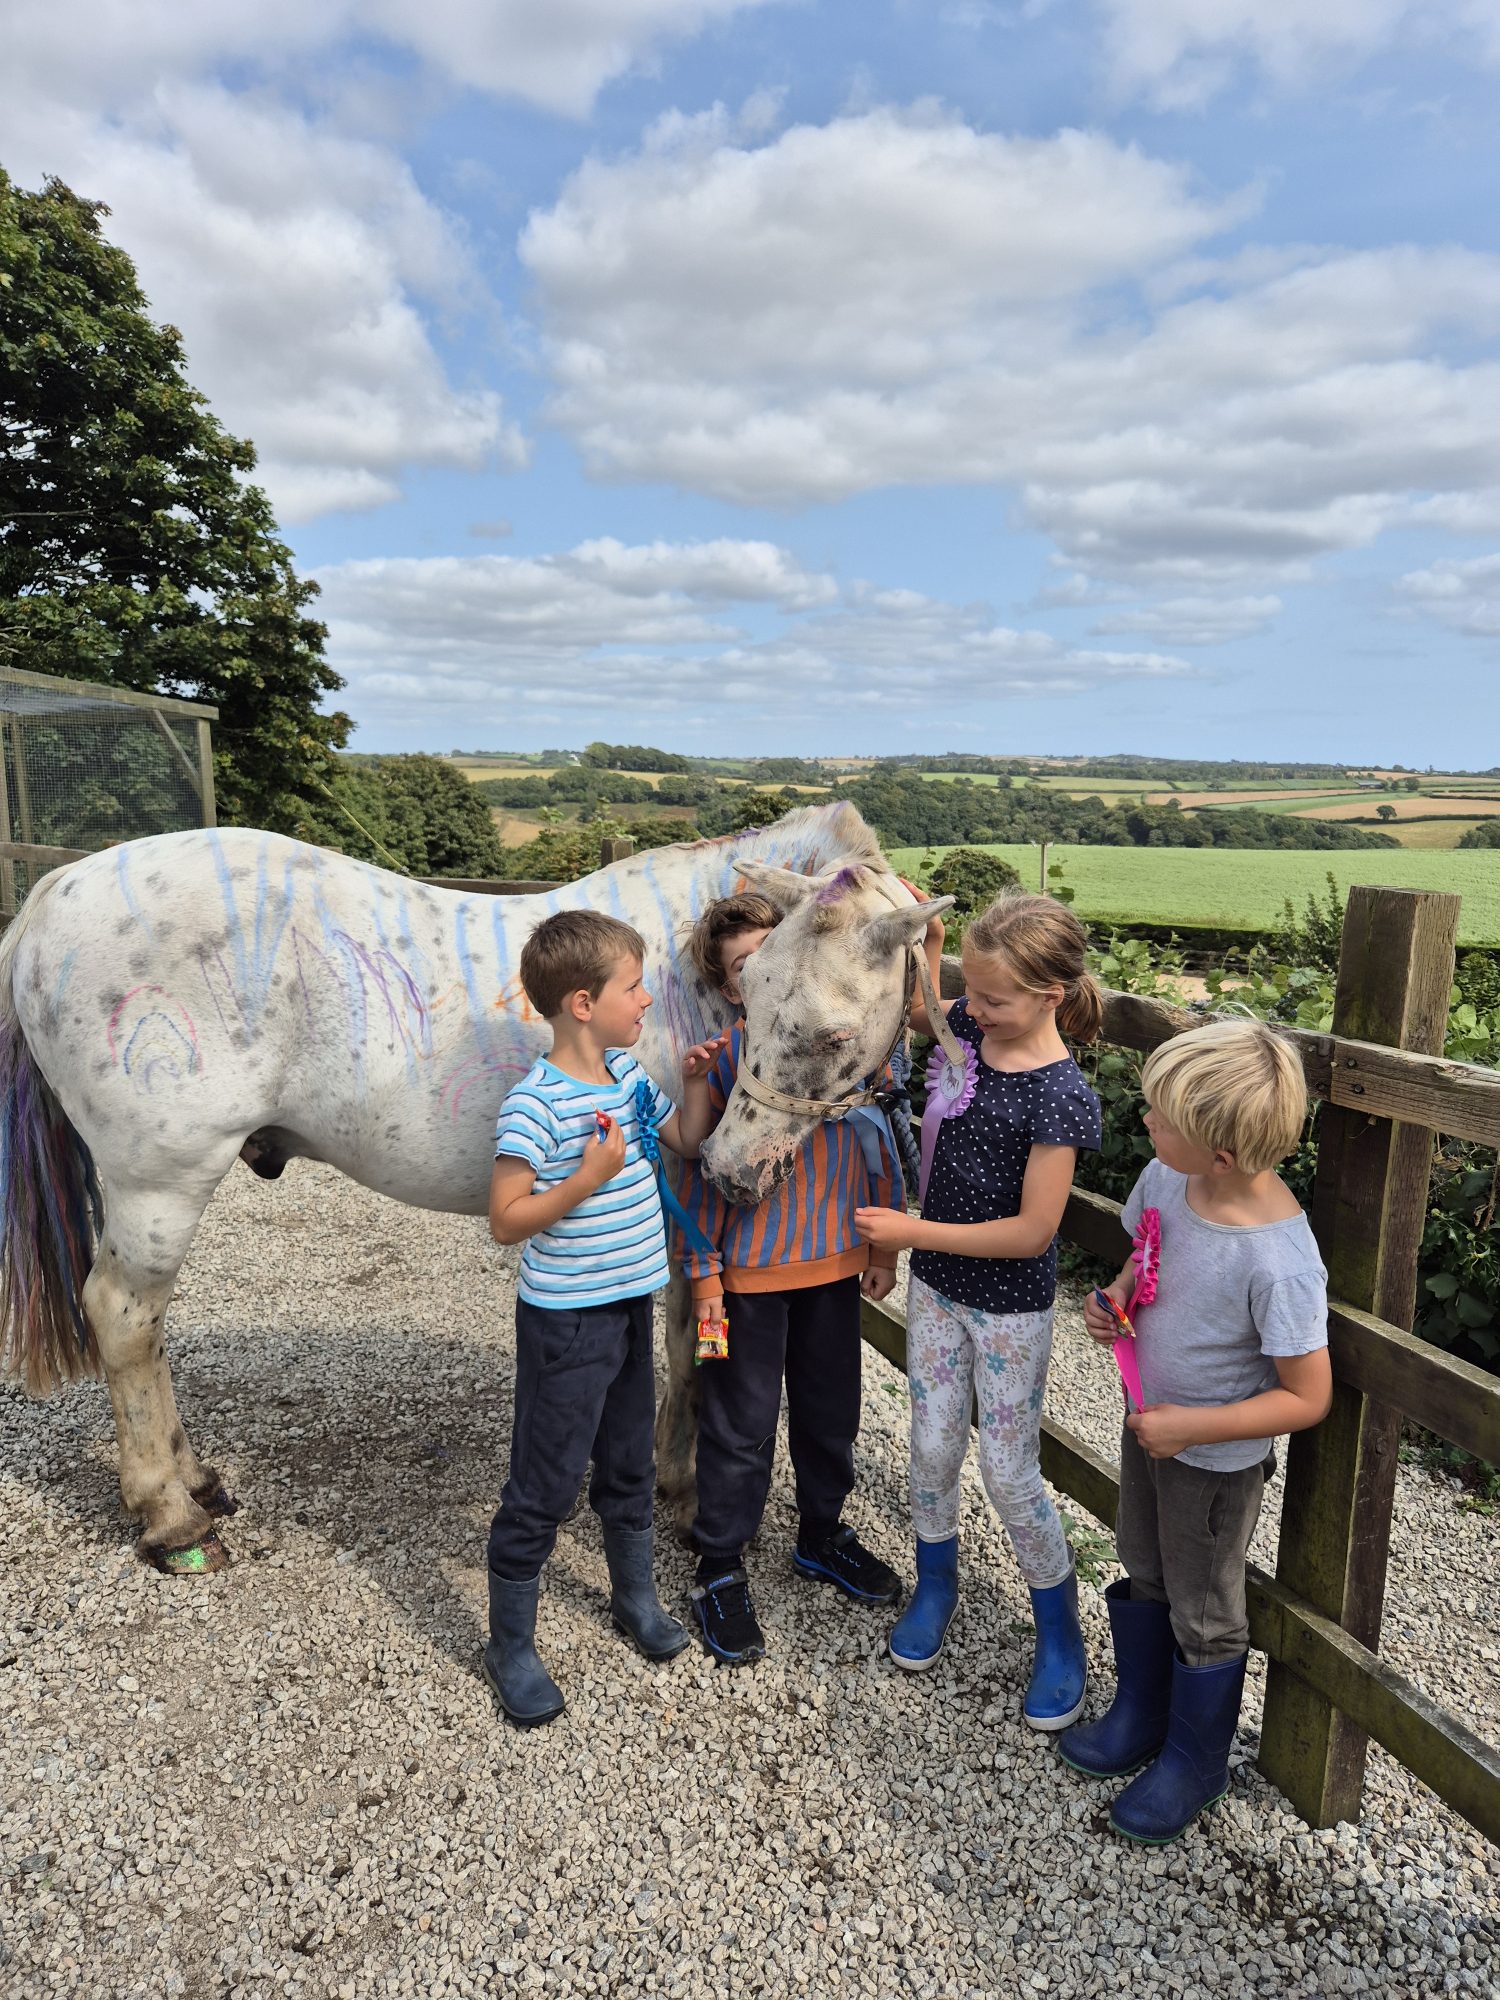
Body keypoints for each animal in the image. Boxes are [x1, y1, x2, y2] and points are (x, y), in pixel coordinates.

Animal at [0, 802, 949, 1570]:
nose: (733, 1166)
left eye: (828, 1032)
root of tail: (53, 893)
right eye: (753, 991)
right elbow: (687, 1340)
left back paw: (194, 1479)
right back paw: (170, 1517)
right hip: (158, 1183)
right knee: (125, 1317)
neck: (682, 977)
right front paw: (682, 1494)